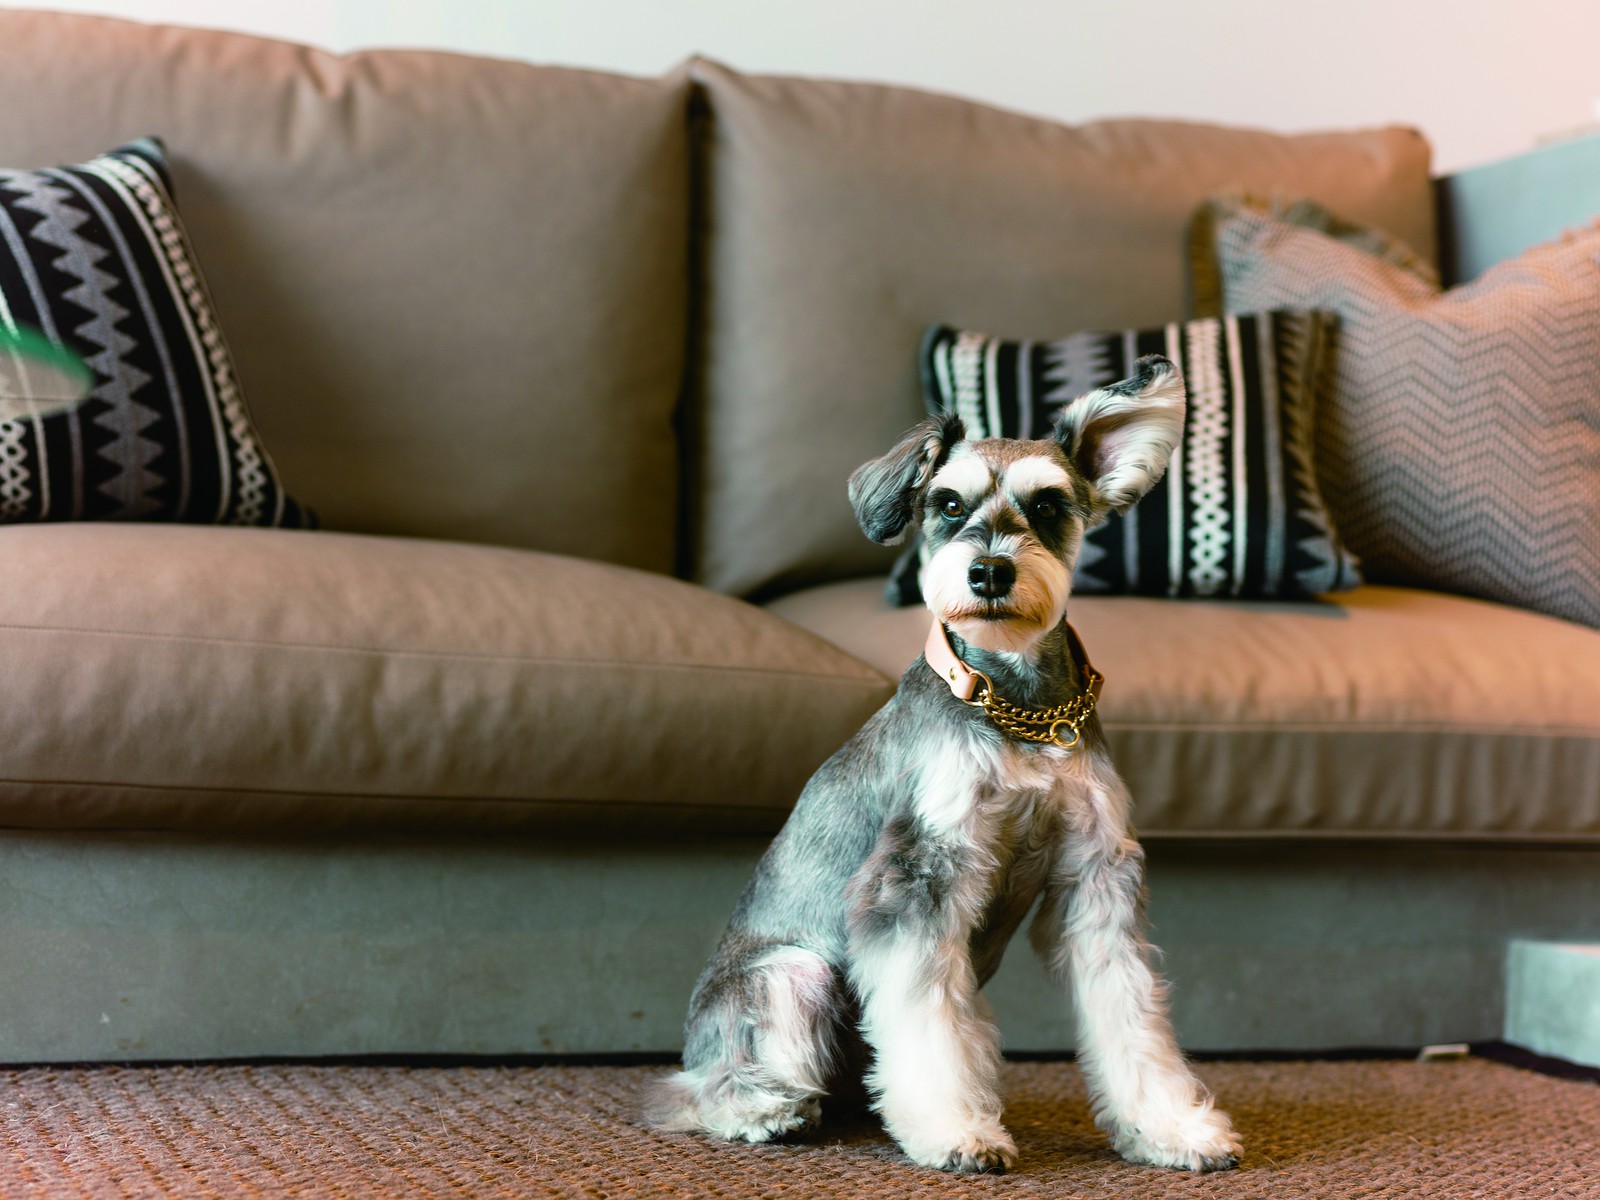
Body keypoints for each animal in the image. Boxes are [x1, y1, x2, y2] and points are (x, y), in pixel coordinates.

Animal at [643, 355, 1241, 1177]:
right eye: (947, 504)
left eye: (1049, 504)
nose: (988, 571)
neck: (1015, 708)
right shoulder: (917, 877)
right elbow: (925, 1020)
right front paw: (955, 1131)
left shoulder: (1097, 880)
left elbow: (1130, 1012)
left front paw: (1169, 1127)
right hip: (791, 974)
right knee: (701, 1085)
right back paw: (763, 1109)